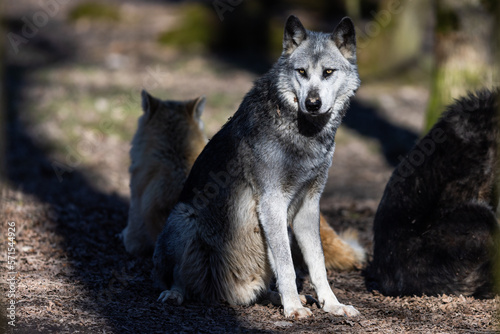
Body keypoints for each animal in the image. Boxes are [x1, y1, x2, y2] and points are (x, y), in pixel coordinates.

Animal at [154, 16, 362, 318]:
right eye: (301, 72)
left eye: (328, 72)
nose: (312, 103)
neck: (305, 135)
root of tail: (228, 295)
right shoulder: (272, 203)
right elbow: (287, 266)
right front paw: (293, 310)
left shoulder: (308, 205)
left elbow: (318, 265)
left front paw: (332, 305)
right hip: (184, 216)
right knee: (180, 278)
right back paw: (175, 293)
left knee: (264, 289)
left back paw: (286, 297)